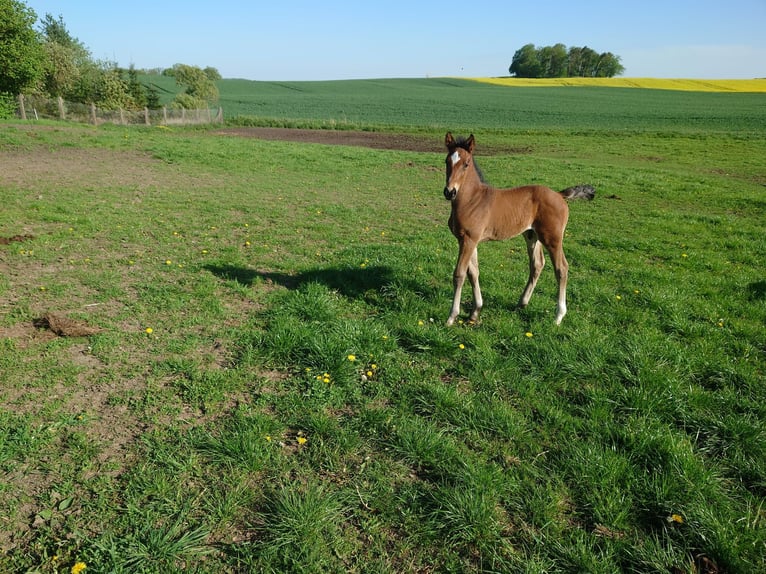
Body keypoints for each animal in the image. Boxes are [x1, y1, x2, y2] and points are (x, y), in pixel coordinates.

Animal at [440, 132, 596, 326]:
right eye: (447, 161)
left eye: (466, 164)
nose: (449, 192)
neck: (472, 200)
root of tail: (559, 195)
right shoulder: (467, 240)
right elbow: (473, 273)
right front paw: (475, 312)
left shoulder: (469, 239)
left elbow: (459, 274)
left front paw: (451, 317)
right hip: (532, 235)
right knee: (537, 264)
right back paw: (522, 303)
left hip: (552, 238)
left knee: (562, 268)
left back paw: (558, 316)